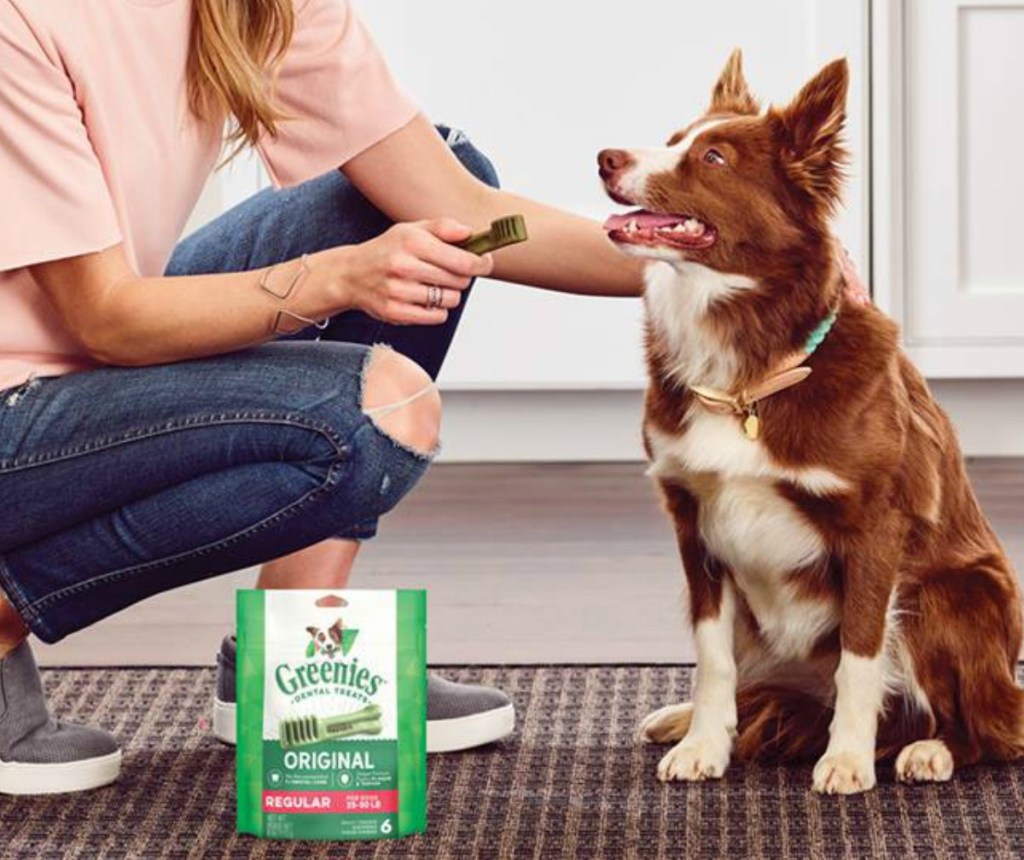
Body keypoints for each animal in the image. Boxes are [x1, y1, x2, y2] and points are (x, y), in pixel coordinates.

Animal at [598, 51, 1024, 794]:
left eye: (713, 157)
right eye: (674, 137)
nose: (604, 158)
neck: (746, 376)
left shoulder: (877, 527)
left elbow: (860, 656)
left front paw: (848, 758)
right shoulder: (694, 518)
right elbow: (712, 655)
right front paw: (704, 744)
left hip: (951, 592)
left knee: (982, 728)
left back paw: (929, 750)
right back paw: (688, 719)